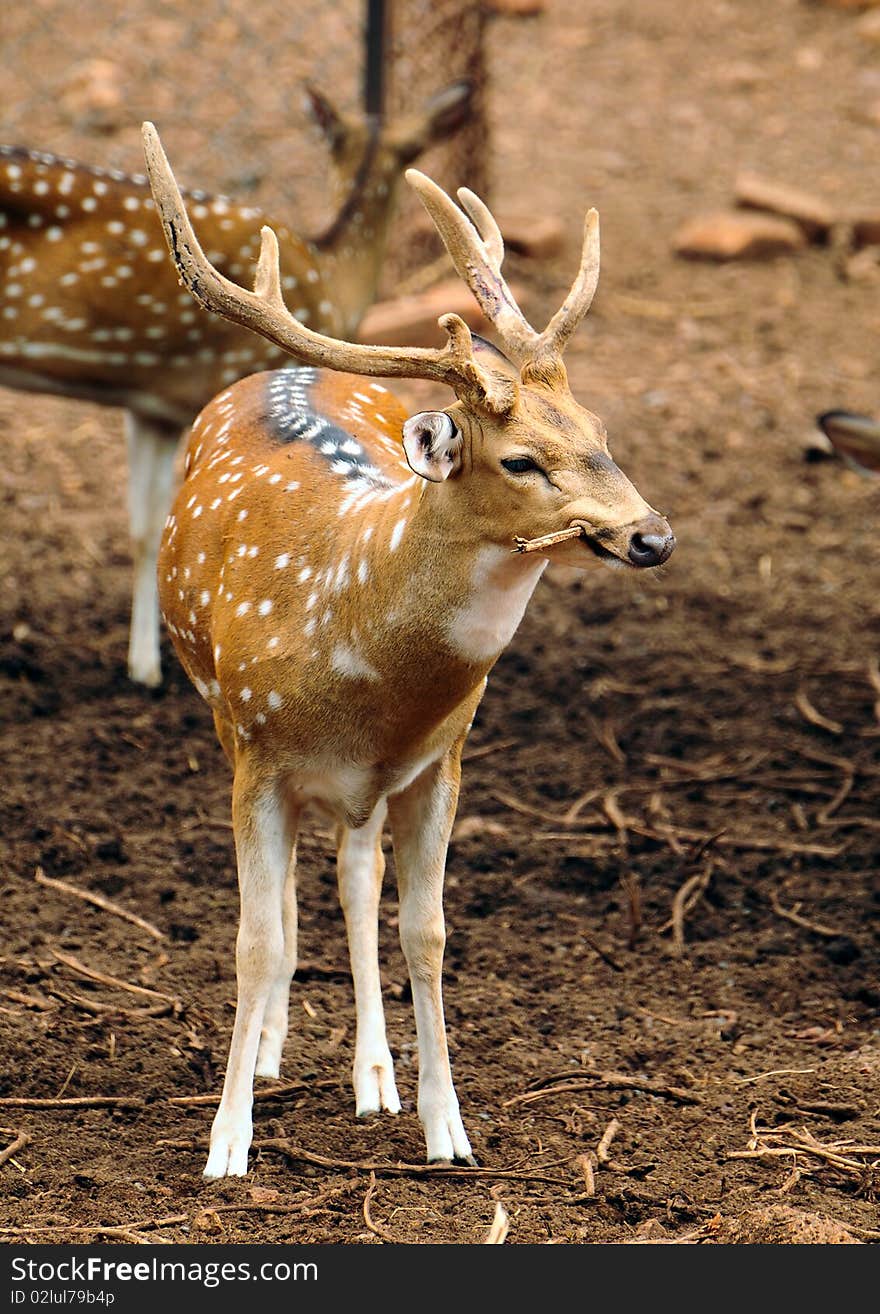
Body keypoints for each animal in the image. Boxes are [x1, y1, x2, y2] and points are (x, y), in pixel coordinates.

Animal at [144, 118, 677, 1177]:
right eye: (521, 459)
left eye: (599, 428)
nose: (652, 535)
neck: (359, 666)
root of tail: (280, 366)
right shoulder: (257, 753)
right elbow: (255, 941)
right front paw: (226, 1146)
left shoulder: (440, 761)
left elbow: (425, 932)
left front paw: (447, 1130)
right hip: (223, 717)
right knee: (295, 902)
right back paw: (273, 1055)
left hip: (368, 789)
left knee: (355, 877)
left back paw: (373, 1077)